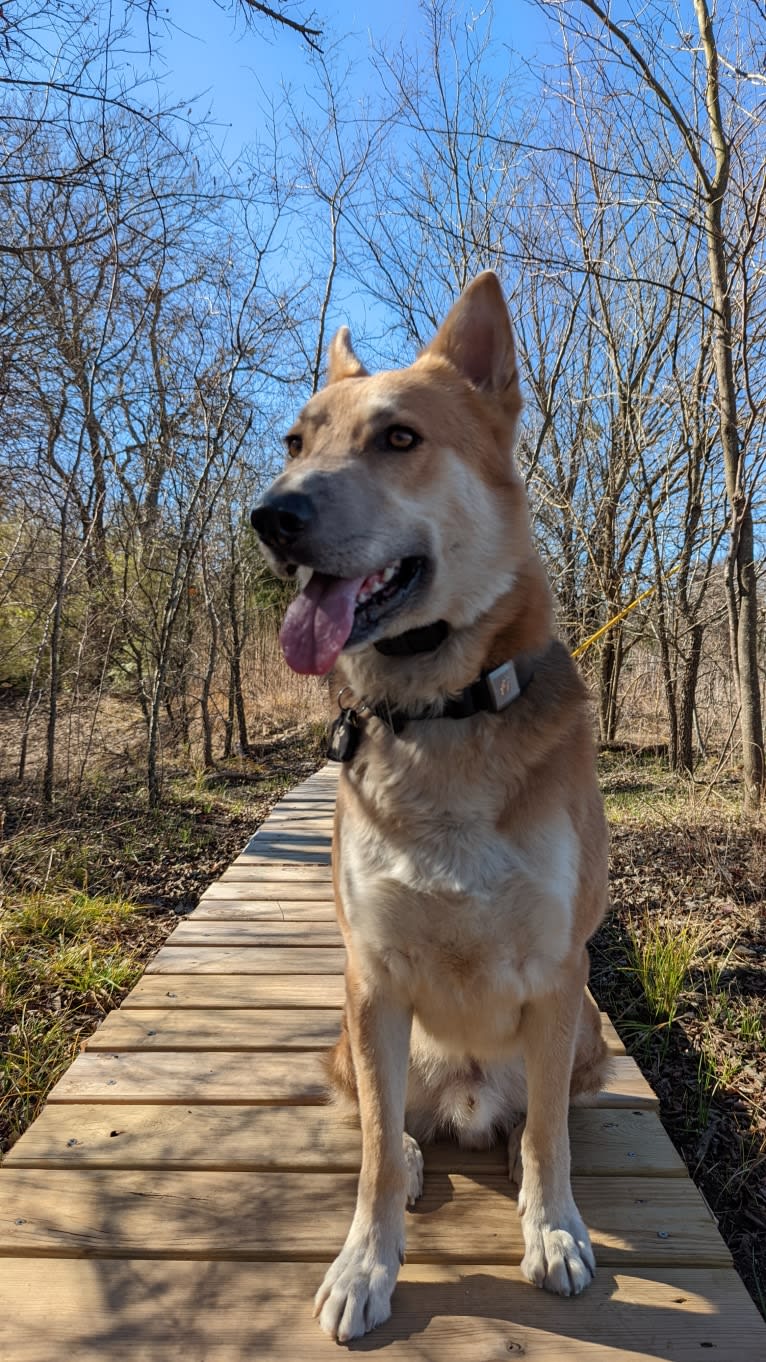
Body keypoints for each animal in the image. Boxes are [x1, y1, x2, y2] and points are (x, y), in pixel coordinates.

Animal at [250, 271, 607, 1345]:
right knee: (383, 1119)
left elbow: (549, 1140)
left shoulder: (558, 971)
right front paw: (367, 1263)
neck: (441, 712)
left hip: (586, 1031)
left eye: (399, 438)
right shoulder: (373, 976)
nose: (269, 517)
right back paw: (414, 1152)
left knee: (539, 1120)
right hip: (350, 1029)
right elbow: (369, 1149)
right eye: (295, 441)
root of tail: (464, 1100)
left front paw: (554, 1227)